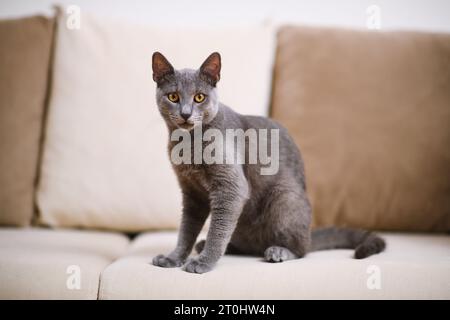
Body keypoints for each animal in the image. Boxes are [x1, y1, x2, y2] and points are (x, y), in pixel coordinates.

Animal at [150, 52, 384, 272]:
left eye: (199, 97)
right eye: (173, 96)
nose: (185, 113)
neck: (188, 144)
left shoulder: (231, 187)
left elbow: (217, 230)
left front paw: (203, 263)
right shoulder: (192, 193)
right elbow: (186, 230)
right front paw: (174, 258)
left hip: (284, 199)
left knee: (302, 249)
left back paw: (278, 251)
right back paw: (209, 245)